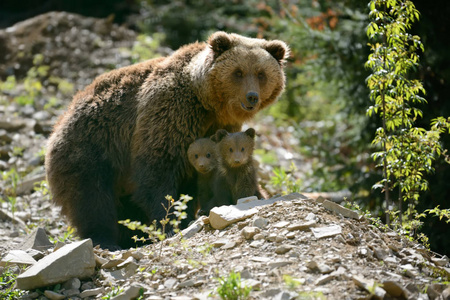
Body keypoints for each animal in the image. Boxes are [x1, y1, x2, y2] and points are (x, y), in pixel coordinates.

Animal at [45, 31, 290, 250]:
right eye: (238, 72)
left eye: (261, 74)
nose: (252, 96)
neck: (207, 104)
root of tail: (62, 118)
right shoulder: (170, 111)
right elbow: (158, 168)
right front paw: (172, 222)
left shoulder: (221, 126)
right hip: (92, 147)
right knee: (92, 198)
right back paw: (105, 240)